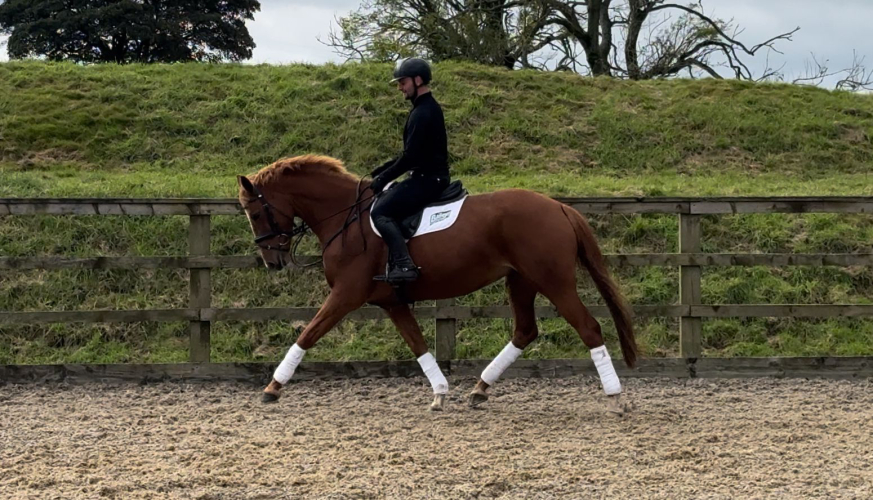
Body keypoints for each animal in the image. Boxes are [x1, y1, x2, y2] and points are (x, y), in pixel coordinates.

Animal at [238, 155, 637, 414]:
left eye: (255, 212)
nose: (271, 261)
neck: (347, 220)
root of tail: (559, 207)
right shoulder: (391, 302)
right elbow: (417, 343)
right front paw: (440, 392)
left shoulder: (346, 295)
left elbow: (308, 334)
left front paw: (272, 387)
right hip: (521, 281)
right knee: (525, 331)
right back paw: (480, 390)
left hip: (554, 282)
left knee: (588, 327)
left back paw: (616, 397)